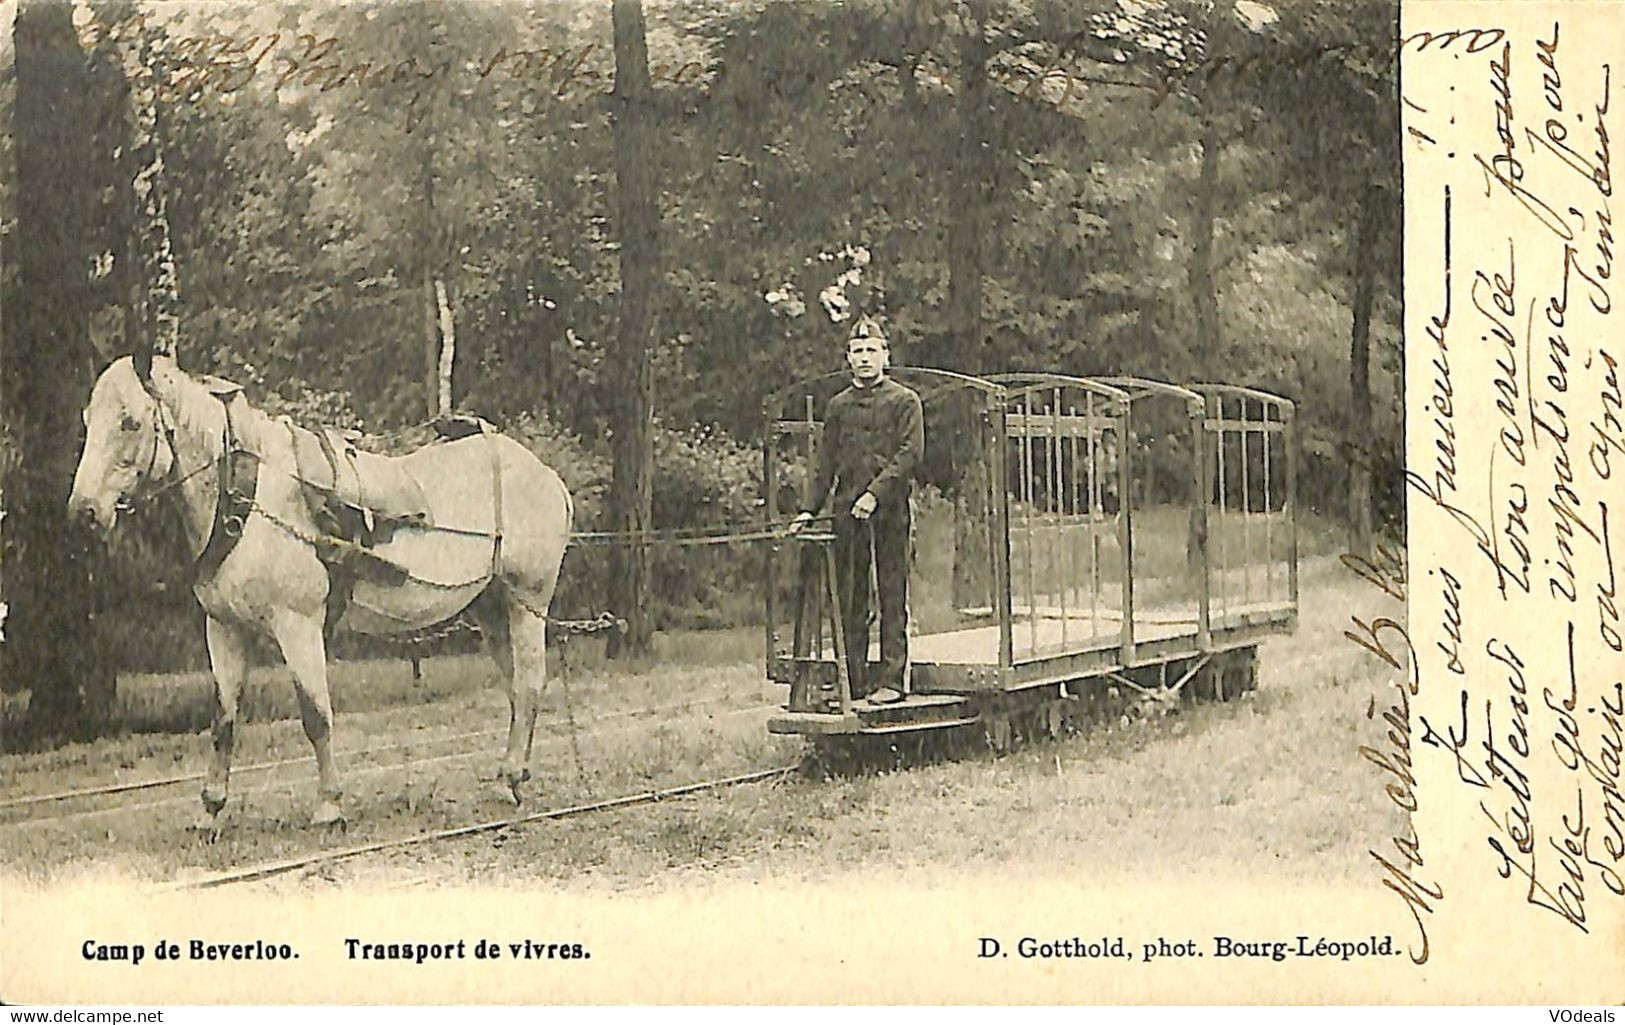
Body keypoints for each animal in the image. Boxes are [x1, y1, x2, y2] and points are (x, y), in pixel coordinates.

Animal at [71, 354, 578, 831]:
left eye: (130, 422)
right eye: (88, 419)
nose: (84, 511)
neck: (248, 496)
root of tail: (548, 476)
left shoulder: (297, 625)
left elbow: (315, 715)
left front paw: (329, 806)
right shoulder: (225, 629)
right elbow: (224, 721)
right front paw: (211, 809)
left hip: (526, 603)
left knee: (529, 684)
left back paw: (511, 778)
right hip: (492, 609)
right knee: (516, 688)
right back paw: (510, 775)